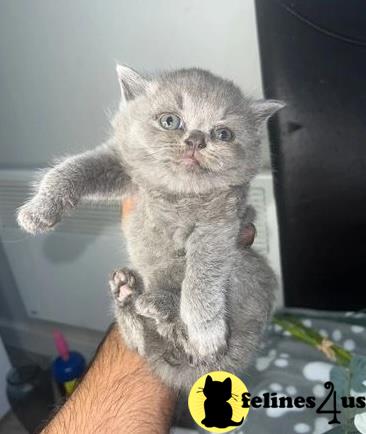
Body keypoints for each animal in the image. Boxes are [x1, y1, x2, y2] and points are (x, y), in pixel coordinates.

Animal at [17, 66, 284, 392]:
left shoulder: (222, 223)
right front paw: (38, 211)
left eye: (223, 134)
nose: (196, 140)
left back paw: (165, 311)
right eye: (170, 121)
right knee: (143, 342)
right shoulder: (120, 165)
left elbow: (202, 275)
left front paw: (205, 333)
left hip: (246, 267)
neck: (175, 194)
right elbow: (72, 169)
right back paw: (127, 293)